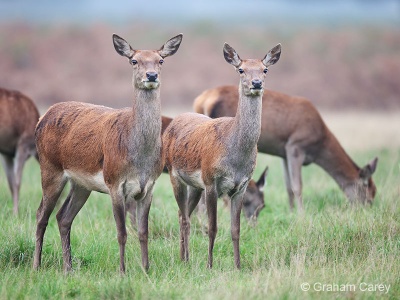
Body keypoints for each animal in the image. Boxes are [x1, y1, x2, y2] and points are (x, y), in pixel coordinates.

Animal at [32, 33, 183, 274]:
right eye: (134, 61)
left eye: (161, 60)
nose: (151, 75)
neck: (140, 158)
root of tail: (41, 118)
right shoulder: (114, 183)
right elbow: (121, 233)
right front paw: (122, 271)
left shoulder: (149, 186)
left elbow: (143, 232)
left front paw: (146, 269)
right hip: (50, 168)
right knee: (41, 215)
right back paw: (36, 265)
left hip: (81, 184)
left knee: (63, 217)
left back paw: (68, 268)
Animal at [162, 41, 282, 268]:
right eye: (241, 69)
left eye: (265, 70)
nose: (256, 83)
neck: (236, 158)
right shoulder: (211, 182)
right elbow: (213, 227)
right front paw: (210, 265)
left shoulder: (240, 186)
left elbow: (236, 229)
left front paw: (238, 265)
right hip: (175, 175)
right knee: (184, 216)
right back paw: (185, 260)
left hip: (195, 186)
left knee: (184, 214)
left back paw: (185, 257)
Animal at [194, 85, 378, 211]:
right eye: (367, 189)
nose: (367, 208)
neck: (319, 144)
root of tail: (202, 101)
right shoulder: (295, 146)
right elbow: (298, 186)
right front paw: (301, 214)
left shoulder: (283, 153)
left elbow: (288, 186)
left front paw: (290, 212)